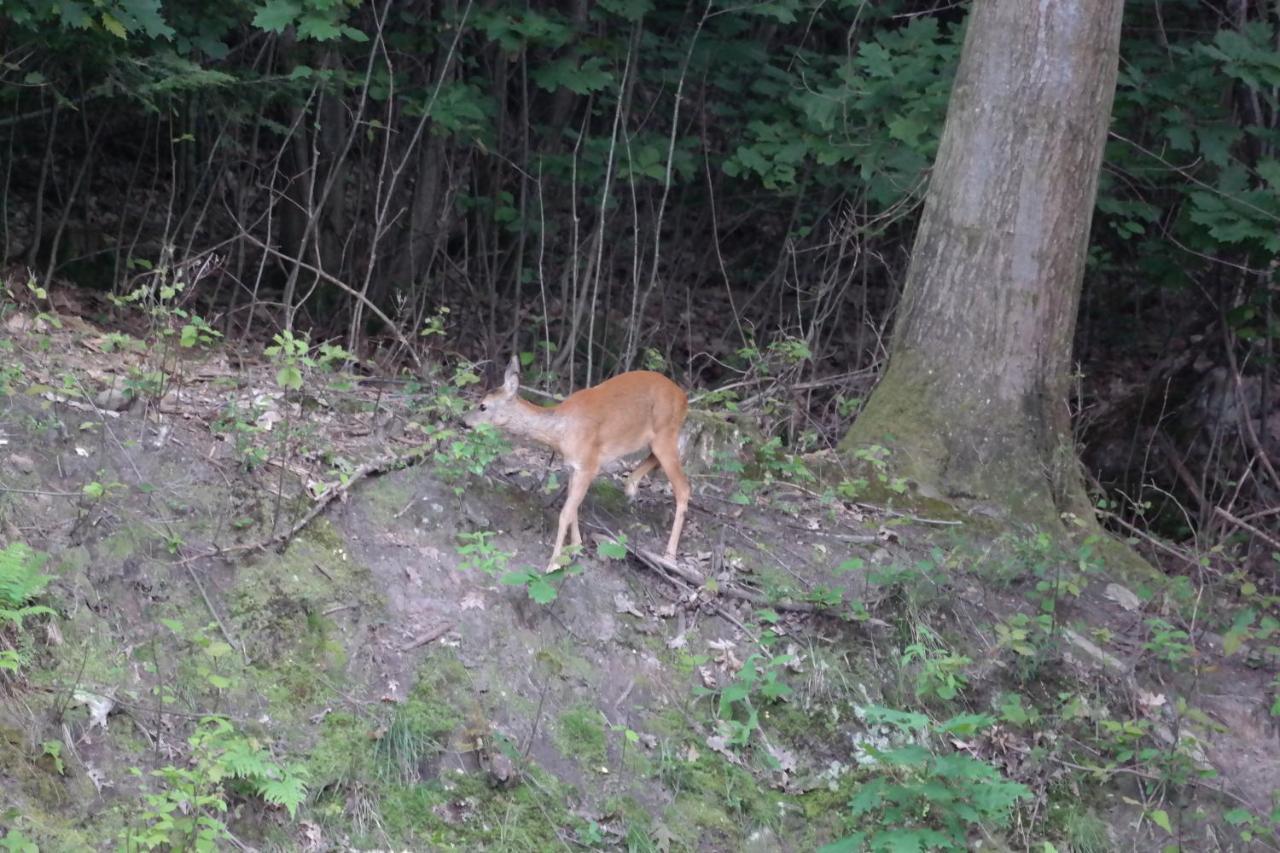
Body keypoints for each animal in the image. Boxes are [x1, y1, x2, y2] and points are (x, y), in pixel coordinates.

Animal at [465, 356, 691, 568]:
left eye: (483, 406)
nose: (463, 421)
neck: (561, 432)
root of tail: (684, 397)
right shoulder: (573, 466)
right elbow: (572, 508)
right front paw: (576, 547)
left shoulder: (589, 464)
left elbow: (565, 513)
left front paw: (554, 563)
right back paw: (631, 486)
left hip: (666, 431)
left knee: (683, 488)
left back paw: (669, 556)